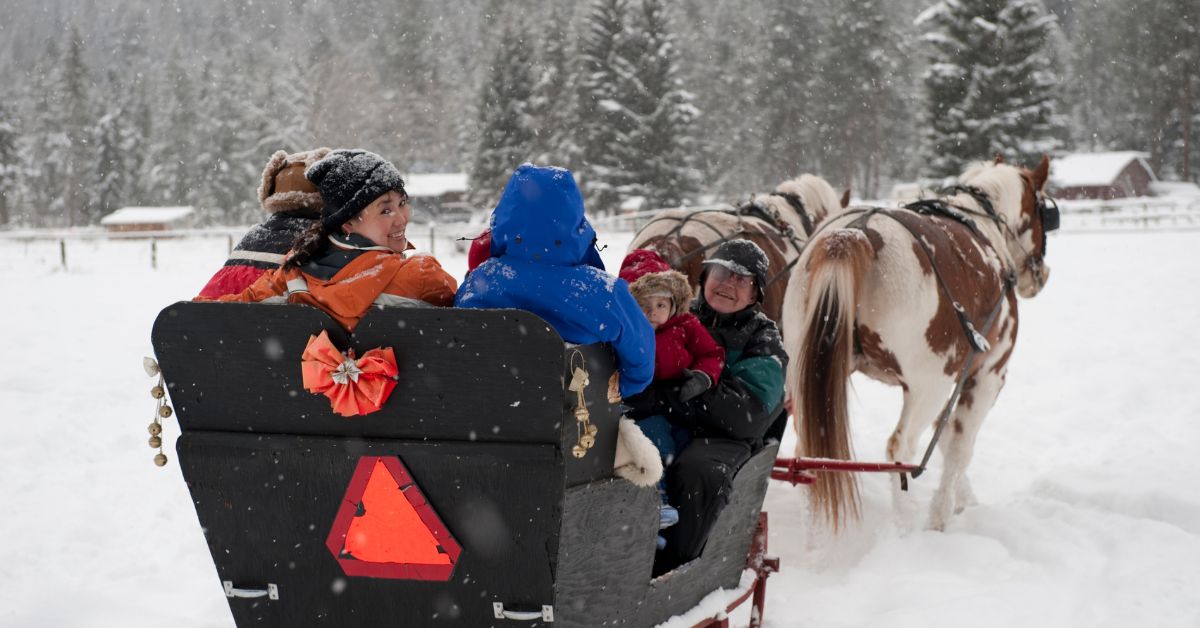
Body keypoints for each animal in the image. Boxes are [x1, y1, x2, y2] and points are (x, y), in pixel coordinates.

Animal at [787, 156, 1060, 530]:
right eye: (1043, 211)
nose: (1041, 275)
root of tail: (856, 233)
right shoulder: (985, 377)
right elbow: (959, 447)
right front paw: (940, 515)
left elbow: (943, 439)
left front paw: (963, 498)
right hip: (928, 386)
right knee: (899, 450)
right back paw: (904, 522)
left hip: (806, 374)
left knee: (808, 448)